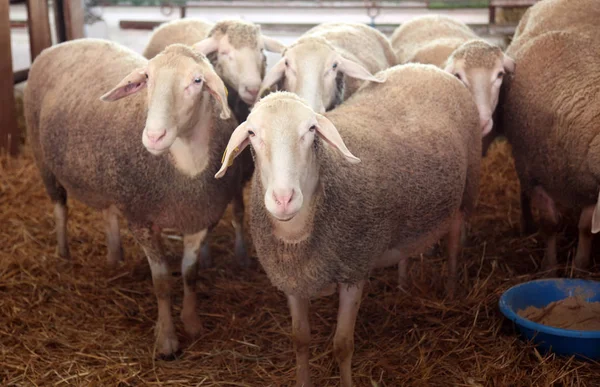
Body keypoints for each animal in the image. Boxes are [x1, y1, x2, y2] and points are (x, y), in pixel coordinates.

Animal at [24, 38, 251, 360]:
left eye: (197, 81)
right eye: (147, 78)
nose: (154, 137)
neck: (186, 165)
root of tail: (61, 45)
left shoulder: (200, 218)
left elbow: (190, 274)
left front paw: (192, 323)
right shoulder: (141, 218)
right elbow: (162, 282)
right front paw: (167, 340)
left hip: (109, 177)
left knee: (107, 212)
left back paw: (114, 256)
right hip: (42, 157)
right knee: (59, 208)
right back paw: (63, 252)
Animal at [213, 63, 480, 384]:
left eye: (311, 130)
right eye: (252, 133)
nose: (283, 198)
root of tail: (427, 68)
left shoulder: (355, 268)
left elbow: (342, 345)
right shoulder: (291, 278)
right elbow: (299, 340)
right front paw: (303, 380)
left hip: (466, 190)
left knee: (453, 242)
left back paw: (451, 291)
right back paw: (404, 283)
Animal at [496, 0, 600, 272]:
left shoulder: (590, 187)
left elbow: (586, 228)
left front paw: (580, 266)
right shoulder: (535, 176)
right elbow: (550, 223)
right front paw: (549, 266)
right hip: (521, 159)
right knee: (522, 192)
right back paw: (526, 224)